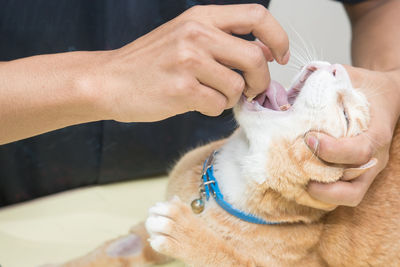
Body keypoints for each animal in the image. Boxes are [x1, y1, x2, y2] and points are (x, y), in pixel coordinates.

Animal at [57, 61, 400, 267]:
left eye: (345, 115)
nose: (337, 68)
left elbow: (227, 257)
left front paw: (185, 233)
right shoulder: (140, 237)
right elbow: (112, 253)